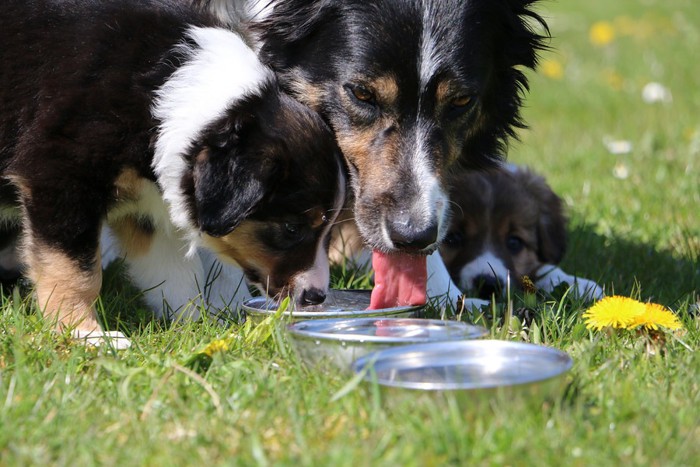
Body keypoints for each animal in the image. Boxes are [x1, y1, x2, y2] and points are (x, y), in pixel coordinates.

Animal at [0, 0, 344, 344]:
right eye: (291, 229)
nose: (316, 296)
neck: (160, 93)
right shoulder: (60, 177)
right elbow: (77, 270)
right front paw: (86, 334)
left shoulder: (148, 207)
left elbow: (176, 274)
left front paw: (198, 331)